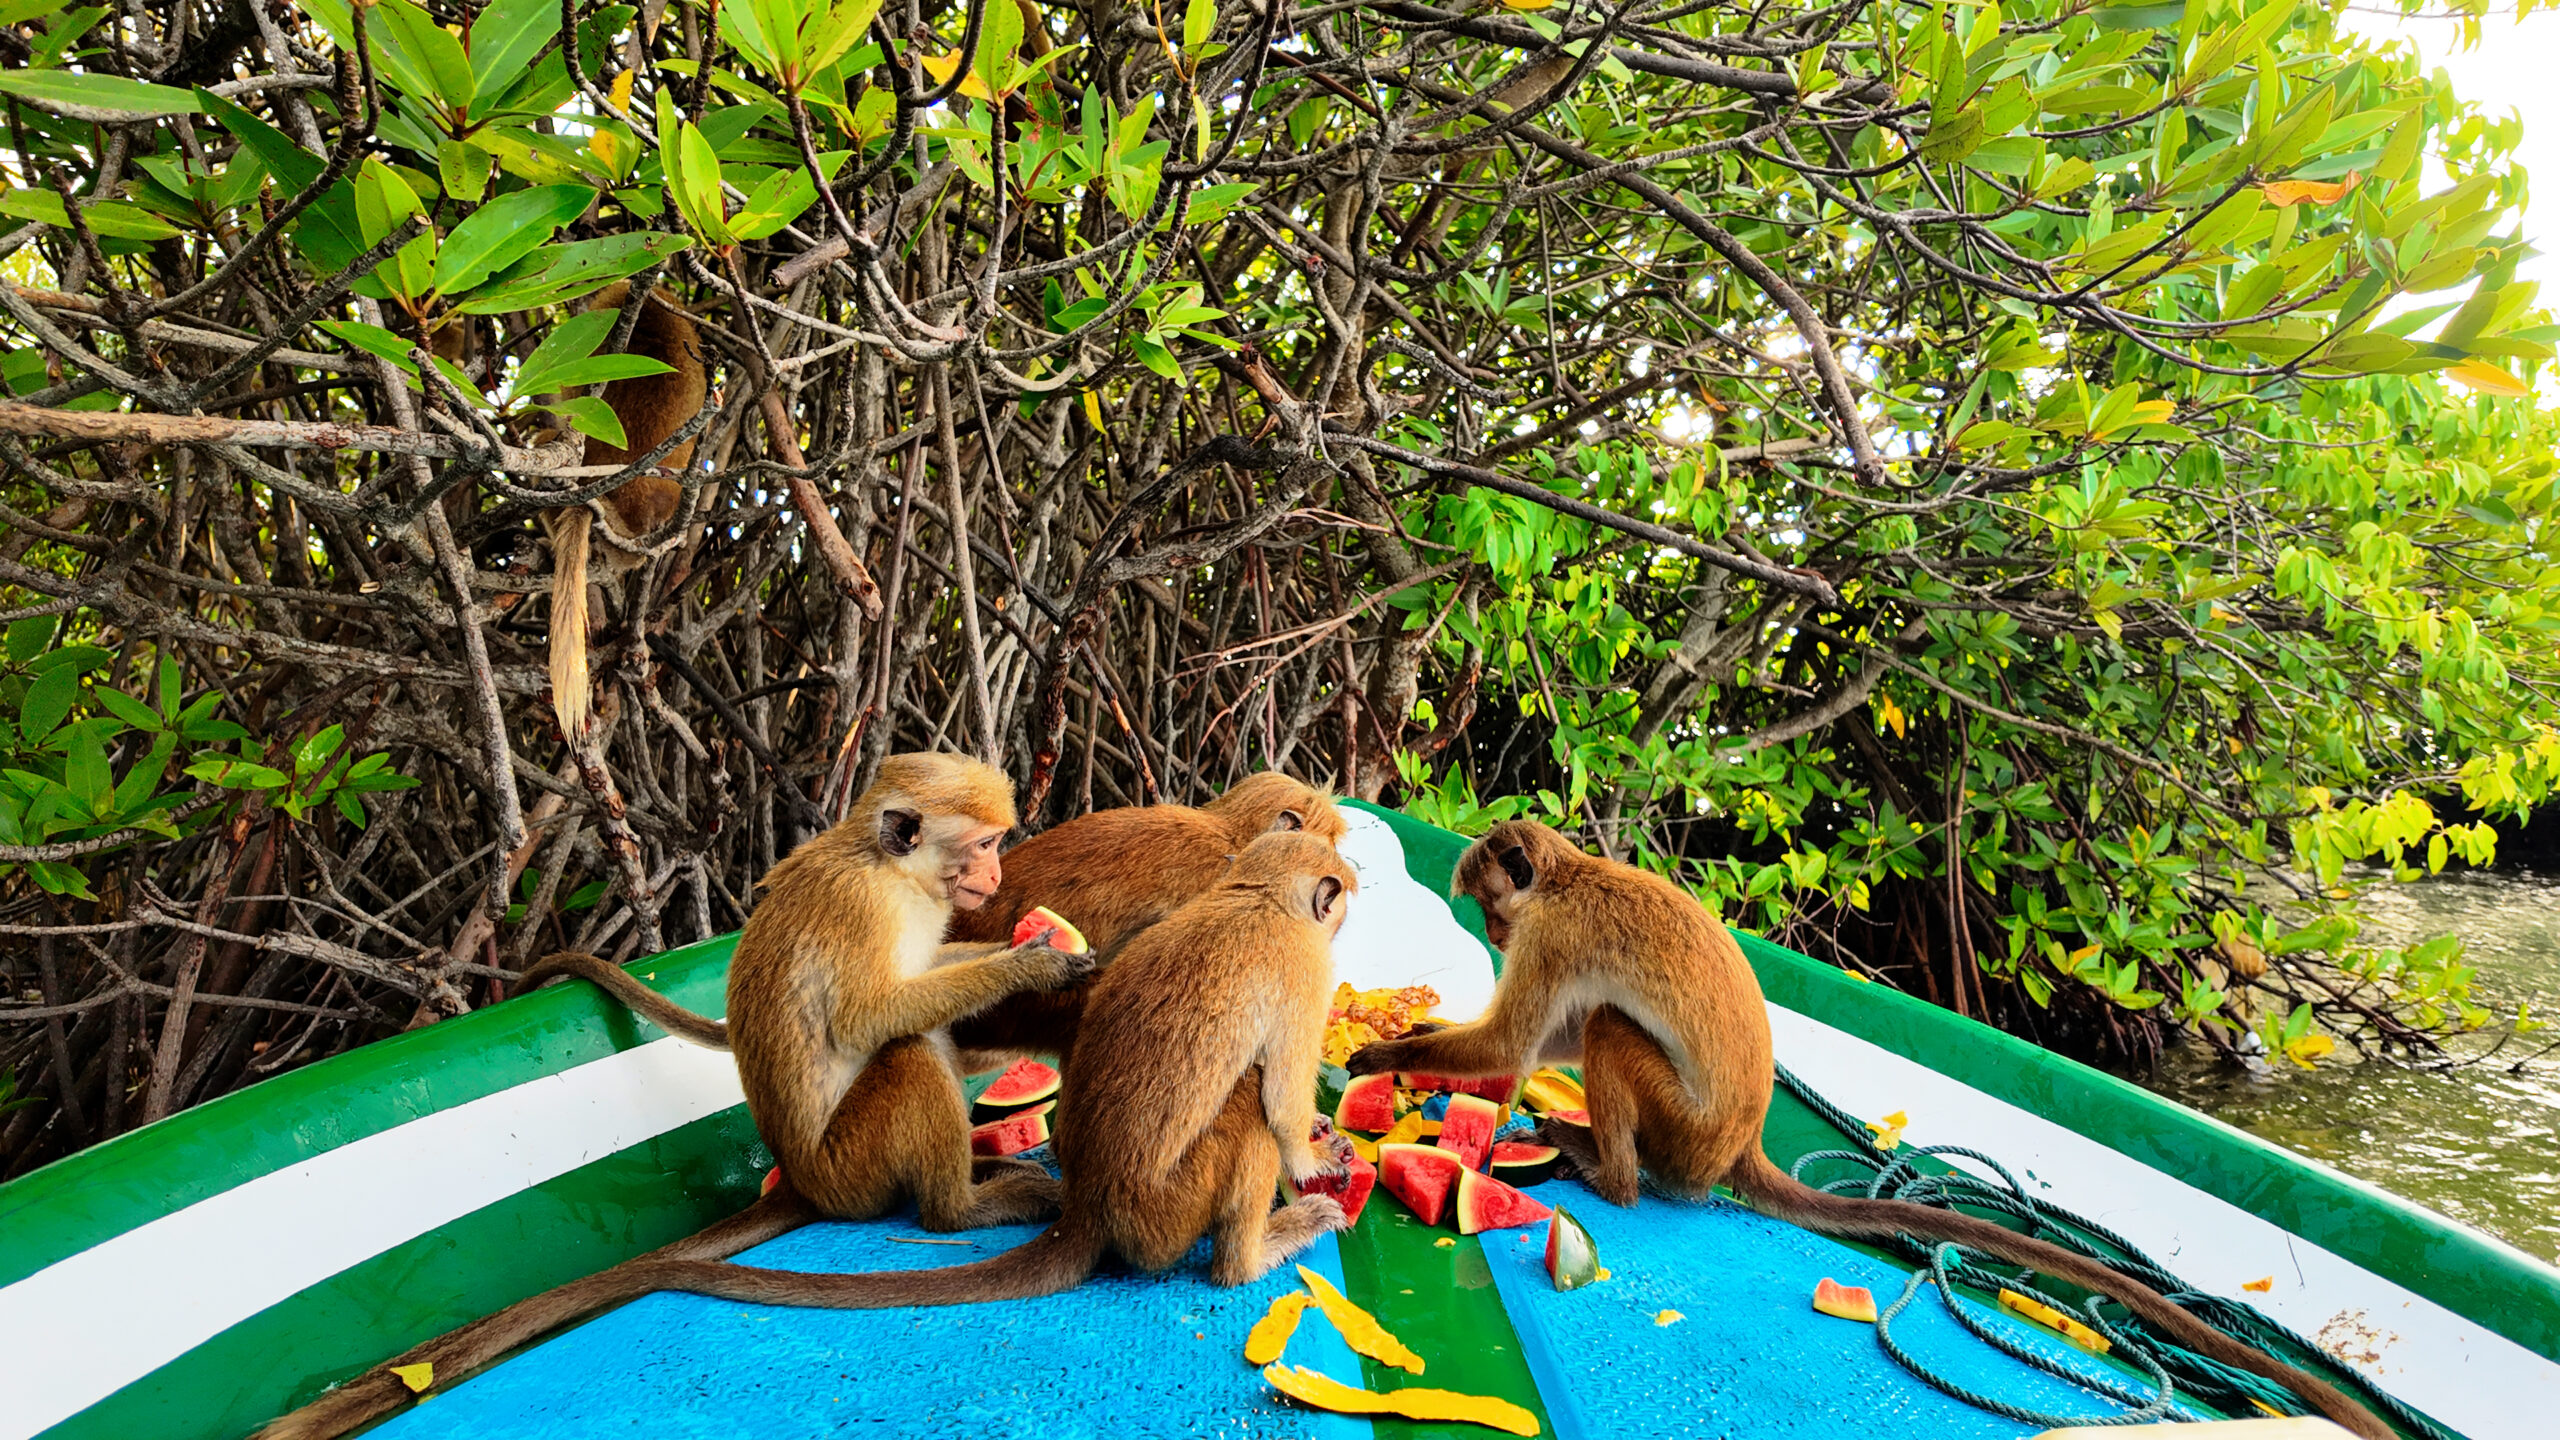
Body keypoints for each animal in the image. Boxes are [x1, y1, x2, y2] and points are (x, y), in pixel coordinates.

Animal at [263, 754, 1090, 1440]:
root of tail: (806, 1184)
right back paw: (959, 1207)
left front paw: (1031, 949)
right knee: (910, 1051)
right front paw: (1030, 967)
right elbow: (868, 1018)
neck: (890, 871)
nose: (995, 878)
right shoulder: (863, 907)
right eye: (981, 845)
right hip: (853, 1165)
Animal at [1343, 820, 2394, 1440]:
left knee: (1607, 1032)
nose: (1491, 932)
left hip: (1680, 1131)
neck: (1568, 880)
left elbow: (1522, 1043)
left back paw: (1609, 1176)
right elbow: (1537, 1041)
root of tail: (1737, 1148)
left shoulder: (1555, 935)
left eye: (1489, 907)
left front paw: (1375, 1056)